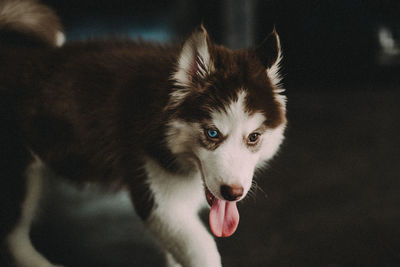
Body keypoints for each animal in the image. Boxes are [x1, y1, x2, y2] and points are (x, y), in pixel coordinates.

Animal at [0, 1, 288, 266]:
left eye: (253, 137)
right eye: (212, 133)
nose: (232, 193)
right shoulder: (159, 202)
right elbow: (203, 250)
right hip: (18, 174)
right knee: (14, 234)